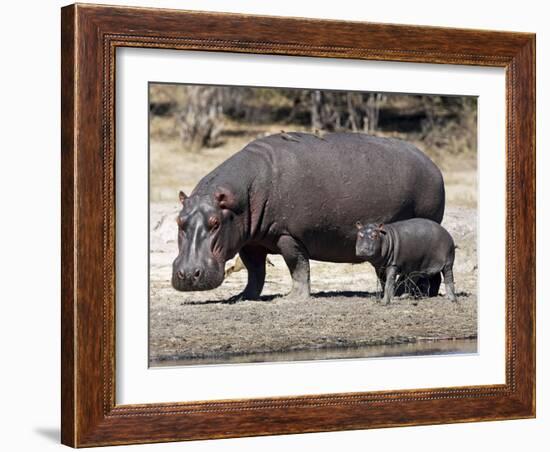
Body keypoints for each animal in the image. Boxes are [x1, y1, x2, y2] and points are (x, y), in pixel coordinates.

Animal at [174, 132, 448, 300]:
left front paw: (292, 298)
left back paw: (416, 294)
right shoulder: (250, 241)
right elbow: (255, 272)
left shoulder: (288, 235)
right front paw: (242, 297)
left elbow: (297, 266)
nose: (187, 275)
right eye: (179, 221)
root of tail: (433, 165)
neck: (238, 198)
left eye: (215, 223)